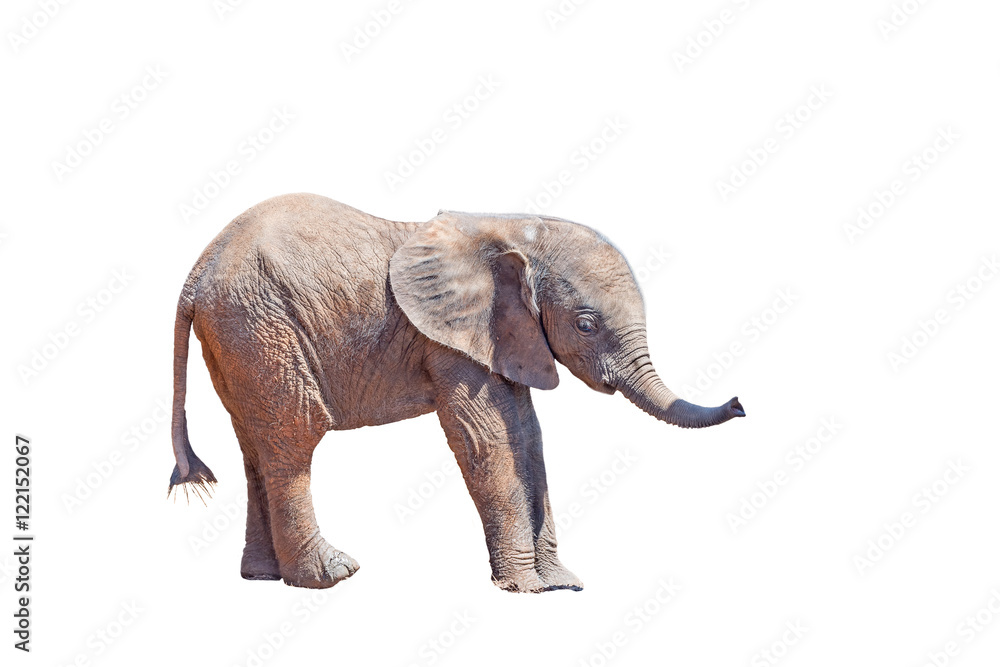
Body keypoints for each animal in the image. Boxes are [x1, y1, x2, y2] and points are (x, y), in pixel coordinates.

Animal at [169, 193, 745, 593]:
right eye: (585, 325)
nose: (740, 403)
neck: (513, 227)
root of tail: (195, 275)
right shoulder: (451, 341)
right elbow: (487, 441)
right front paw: (527, 590)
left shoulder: (506, 336)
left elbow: (528, 437)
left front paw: (564, 585)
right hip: (259, 326)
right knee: (294, 436)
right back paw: (331, 577)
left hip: (239, 338)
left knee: (256, 446)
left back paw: (263, 579)